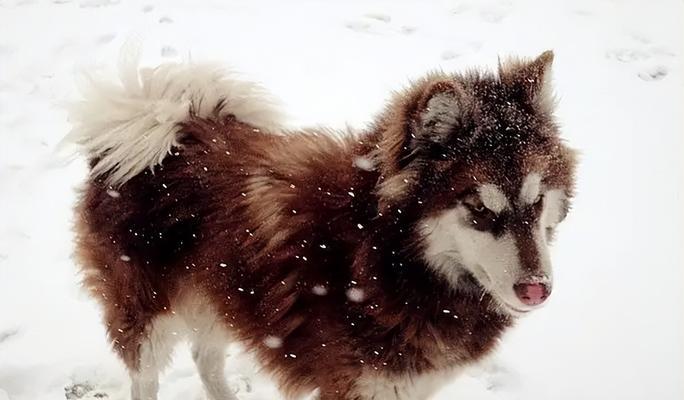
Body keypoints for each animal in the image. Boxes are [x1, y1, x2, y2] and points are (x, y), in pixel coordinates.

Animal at [67, 50, 576, 400]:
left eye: (536, 202)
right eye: (479, 208)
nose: (538, 290)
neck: (381, 256)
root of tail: (166, 127)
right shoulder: (354, 386)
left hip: (220, 292)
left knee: (206, 359)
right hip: (146, 315)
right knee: (146, 376)